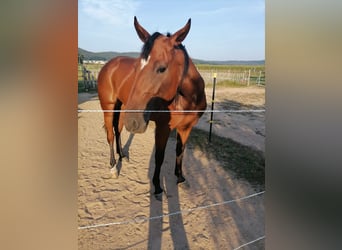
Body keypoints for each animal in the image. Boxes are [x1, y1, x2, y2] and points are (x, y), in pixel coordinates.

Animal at [97, 16, 207, 198]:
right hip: (109, 107)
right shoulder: (163, 127)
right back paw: (113, 167)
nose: (134, 122)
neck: (188, 98)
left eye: (162, 68)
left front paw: (180, 178)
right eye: (136, 68)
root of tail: (109, 65)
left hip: (123, 107)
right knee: (110, 135)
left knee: (118, 129)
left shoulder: (186, 127)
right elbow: (159, 157)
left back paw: (122, 155)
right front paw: (156, 186)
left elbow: (180, 151)